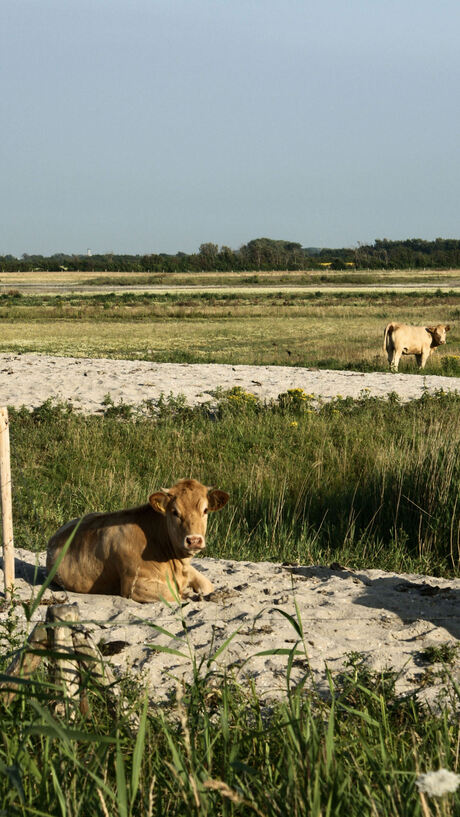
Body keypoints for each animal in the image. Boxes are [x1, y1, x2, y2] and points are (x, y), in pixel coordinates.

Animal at [45, 478, 229, 600]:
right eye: (174, 512)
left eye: (205, 510)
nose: (194, 540)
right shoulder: (133, 585)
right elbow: (173, 595)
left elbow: (208, 585)